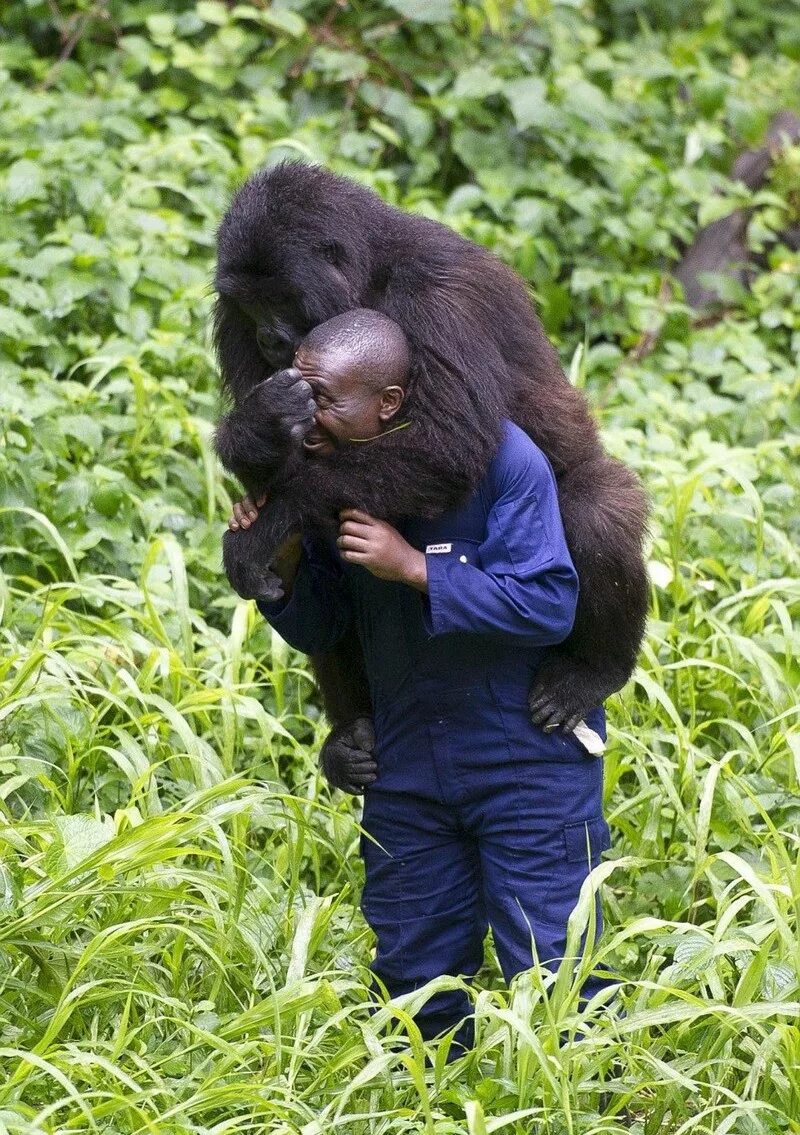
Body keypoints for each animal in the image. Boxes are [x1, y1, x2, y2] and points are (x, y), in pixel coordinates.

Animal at [212, 164, 649, 740]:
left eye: (281, 297)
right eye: (250, 303)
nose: (267, 336)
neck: (367, 278)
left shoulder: (438, 295)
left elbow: (448, 443)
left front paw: (266, 525)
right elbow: (272, 472)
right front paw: (257, 430)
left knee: (597, 507)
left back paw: (595, 669)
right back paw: (352, 737)